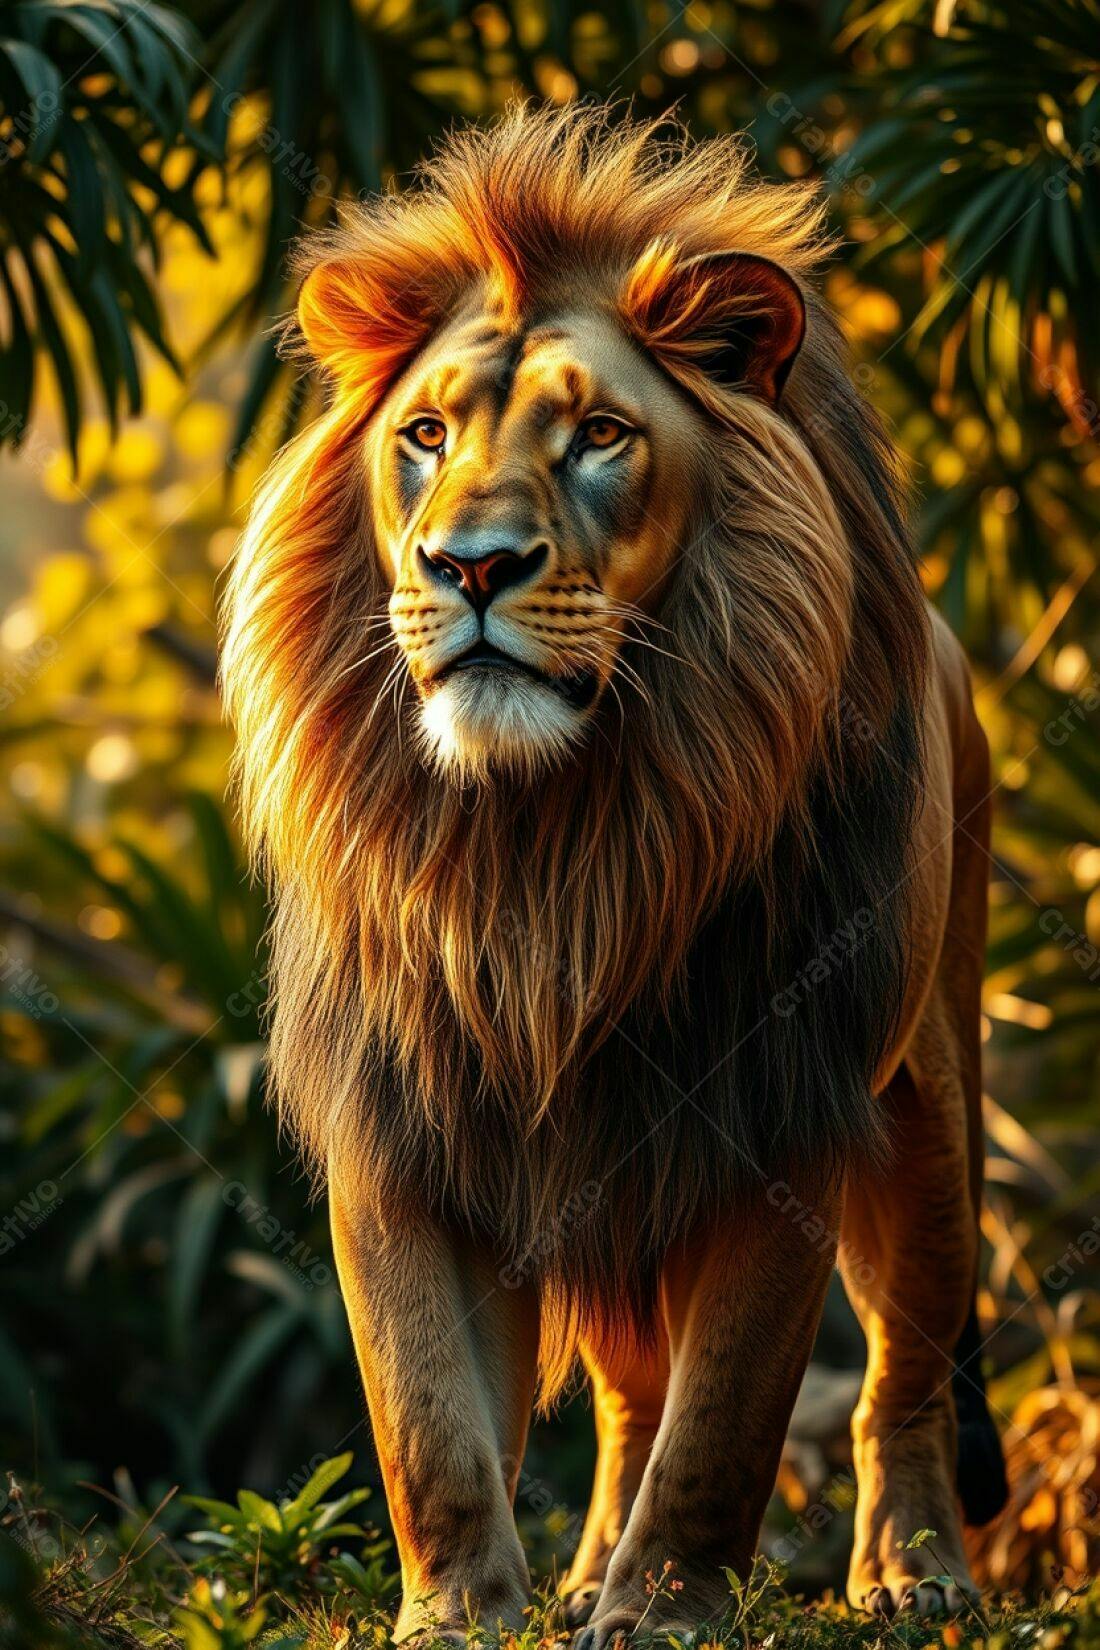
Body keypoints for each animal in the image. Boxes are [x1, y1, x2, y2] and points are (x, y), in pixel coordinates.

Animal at [222, 104, 1008, 1643]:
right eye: (423, 435)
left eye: (598, 435)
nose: (469, 565)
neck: (554, 836)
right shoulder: (404, 1116)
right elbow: (430, 1421)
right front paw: (465, 1613)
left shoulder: (779, 1106)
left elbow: (726, 1422)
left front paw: (665, 1612)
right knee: (633, 1395)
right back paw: (584, 1572)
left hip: (929, 1109)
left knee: (903, 1372)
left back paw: (913, 1572)